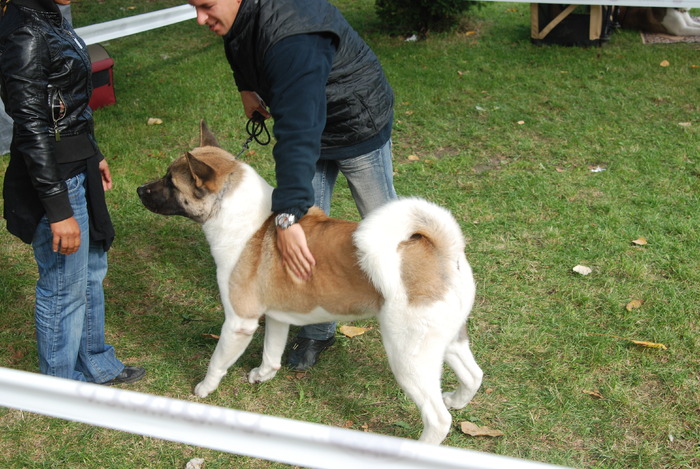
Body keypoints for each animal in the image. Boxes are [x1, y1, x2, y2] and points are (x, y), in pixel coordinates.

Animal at [137, 121, 482, 442]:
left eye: (170, 181)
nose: (140, 190)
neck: (238, 215)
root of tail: (443, 250)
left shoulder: (239, 323)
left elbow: (217, 361)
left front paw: (204, 388)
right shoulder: (277, 316)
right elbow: (271, 354)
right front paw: (262, 375)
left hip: (408, 355)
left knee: (437, 418)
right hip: (446, 339)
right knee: (473, 375)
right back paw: (457, 399)